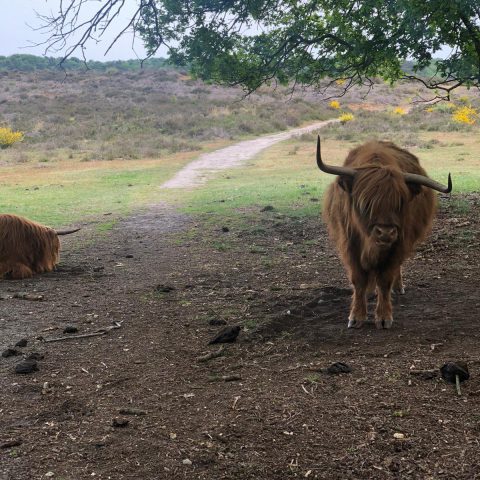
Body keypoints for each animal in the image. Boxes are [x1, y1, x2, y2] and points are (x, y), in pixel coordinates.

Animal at [316, 137, 452, 328]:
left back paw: (398, 286)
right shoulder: (350, 244)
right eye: (365, 203)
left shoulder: (399, 244)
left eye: (400, 202)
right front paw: (356, 316)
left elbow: (385, 279)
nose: (385, 233)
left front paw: (383, 317)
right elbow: (358, 279)